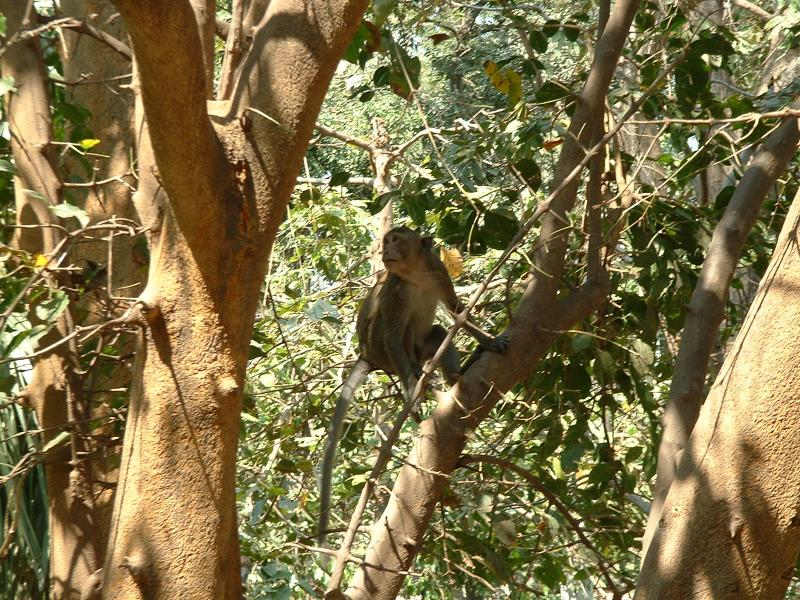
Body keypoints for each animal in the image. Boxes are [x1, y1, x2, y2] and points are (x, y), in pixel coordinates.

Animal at [318, 225, 510, 544]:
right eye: (387, 241)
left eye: (395, 240)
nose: (385, 249)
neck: (414, 272)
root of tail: (366, 354)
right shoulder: (396, 290)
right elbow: (394, 333)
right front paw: (411, 389)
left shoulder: (437, 270)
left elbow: (457, 311)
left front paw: (488, 340)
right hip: (380, 348)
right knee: (392, 331)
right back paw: (418, 377)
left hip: (422, 347)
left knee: (438, 332)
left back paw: (452, 376)